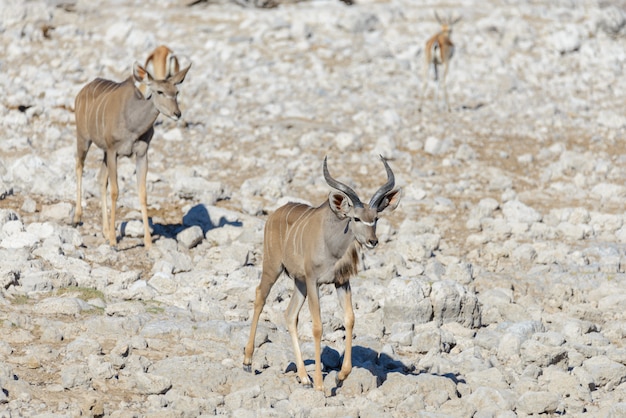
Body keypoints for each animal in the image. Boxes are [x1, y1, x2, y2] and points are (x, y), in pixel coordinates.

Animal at [73, 59, 190, 248]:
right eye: (159, 91)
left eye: (176, 92)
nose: (177, 113)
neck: (132, 124)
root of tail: (82, 91)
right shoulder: (113, 150)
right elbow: (115, 191)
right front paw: (114, 241)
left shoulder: (141, 153)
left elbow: (142, 193)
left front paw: (148, 243)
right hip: (83, 138)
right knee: (79, 165)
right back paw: (77, 218)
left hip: (103, 153)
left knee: (100, 178)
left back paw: (105, 231)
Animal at [243, 156, 400, 392]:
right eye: (355, 218)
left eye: (376, 218)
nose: (373, 241)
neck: (332, 245)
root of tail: (274, 215)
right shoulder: (313, 281)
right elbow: (317, 327)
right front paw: (319, 384)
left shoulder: (341, 282)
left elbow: (350, 319)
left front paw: (340, 376)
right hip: (273, 267)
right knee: (260, 296)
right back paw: (247, 361)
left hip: (298, 283)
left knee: (290, 314)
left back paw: (303, 377)